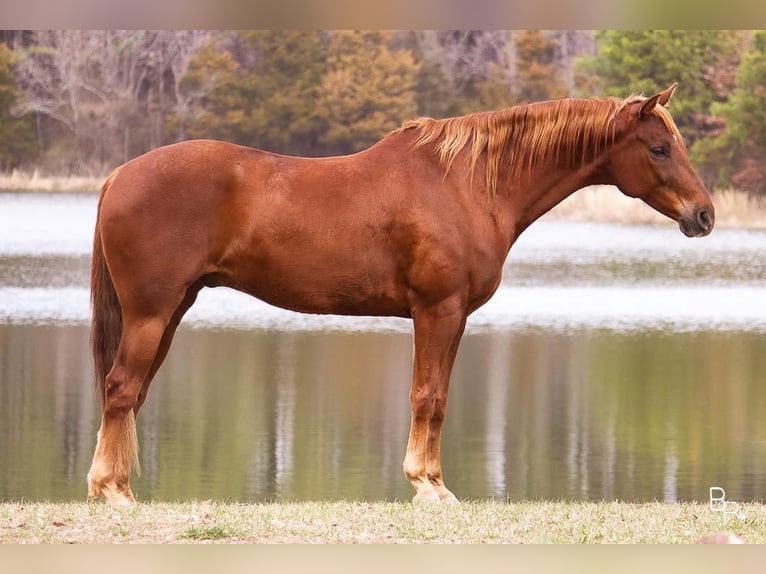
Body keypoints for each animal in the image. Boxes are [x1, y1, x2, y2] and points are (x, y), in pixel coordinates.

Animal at [87, 83, 716, 506]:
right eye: (659, 148)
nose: (704, 216)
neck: (467, 184)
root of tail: (118, 176)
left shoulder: (454, 317)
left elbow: (437, 398)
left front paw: (434, 484)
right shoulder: (437, 311)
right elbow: (427, 397)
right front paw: (427, 487)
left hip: (172, 311)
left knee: (131, 393)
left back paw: (119, 488)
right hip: (151, 314)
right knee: (121, 389)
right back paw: (111, 492)